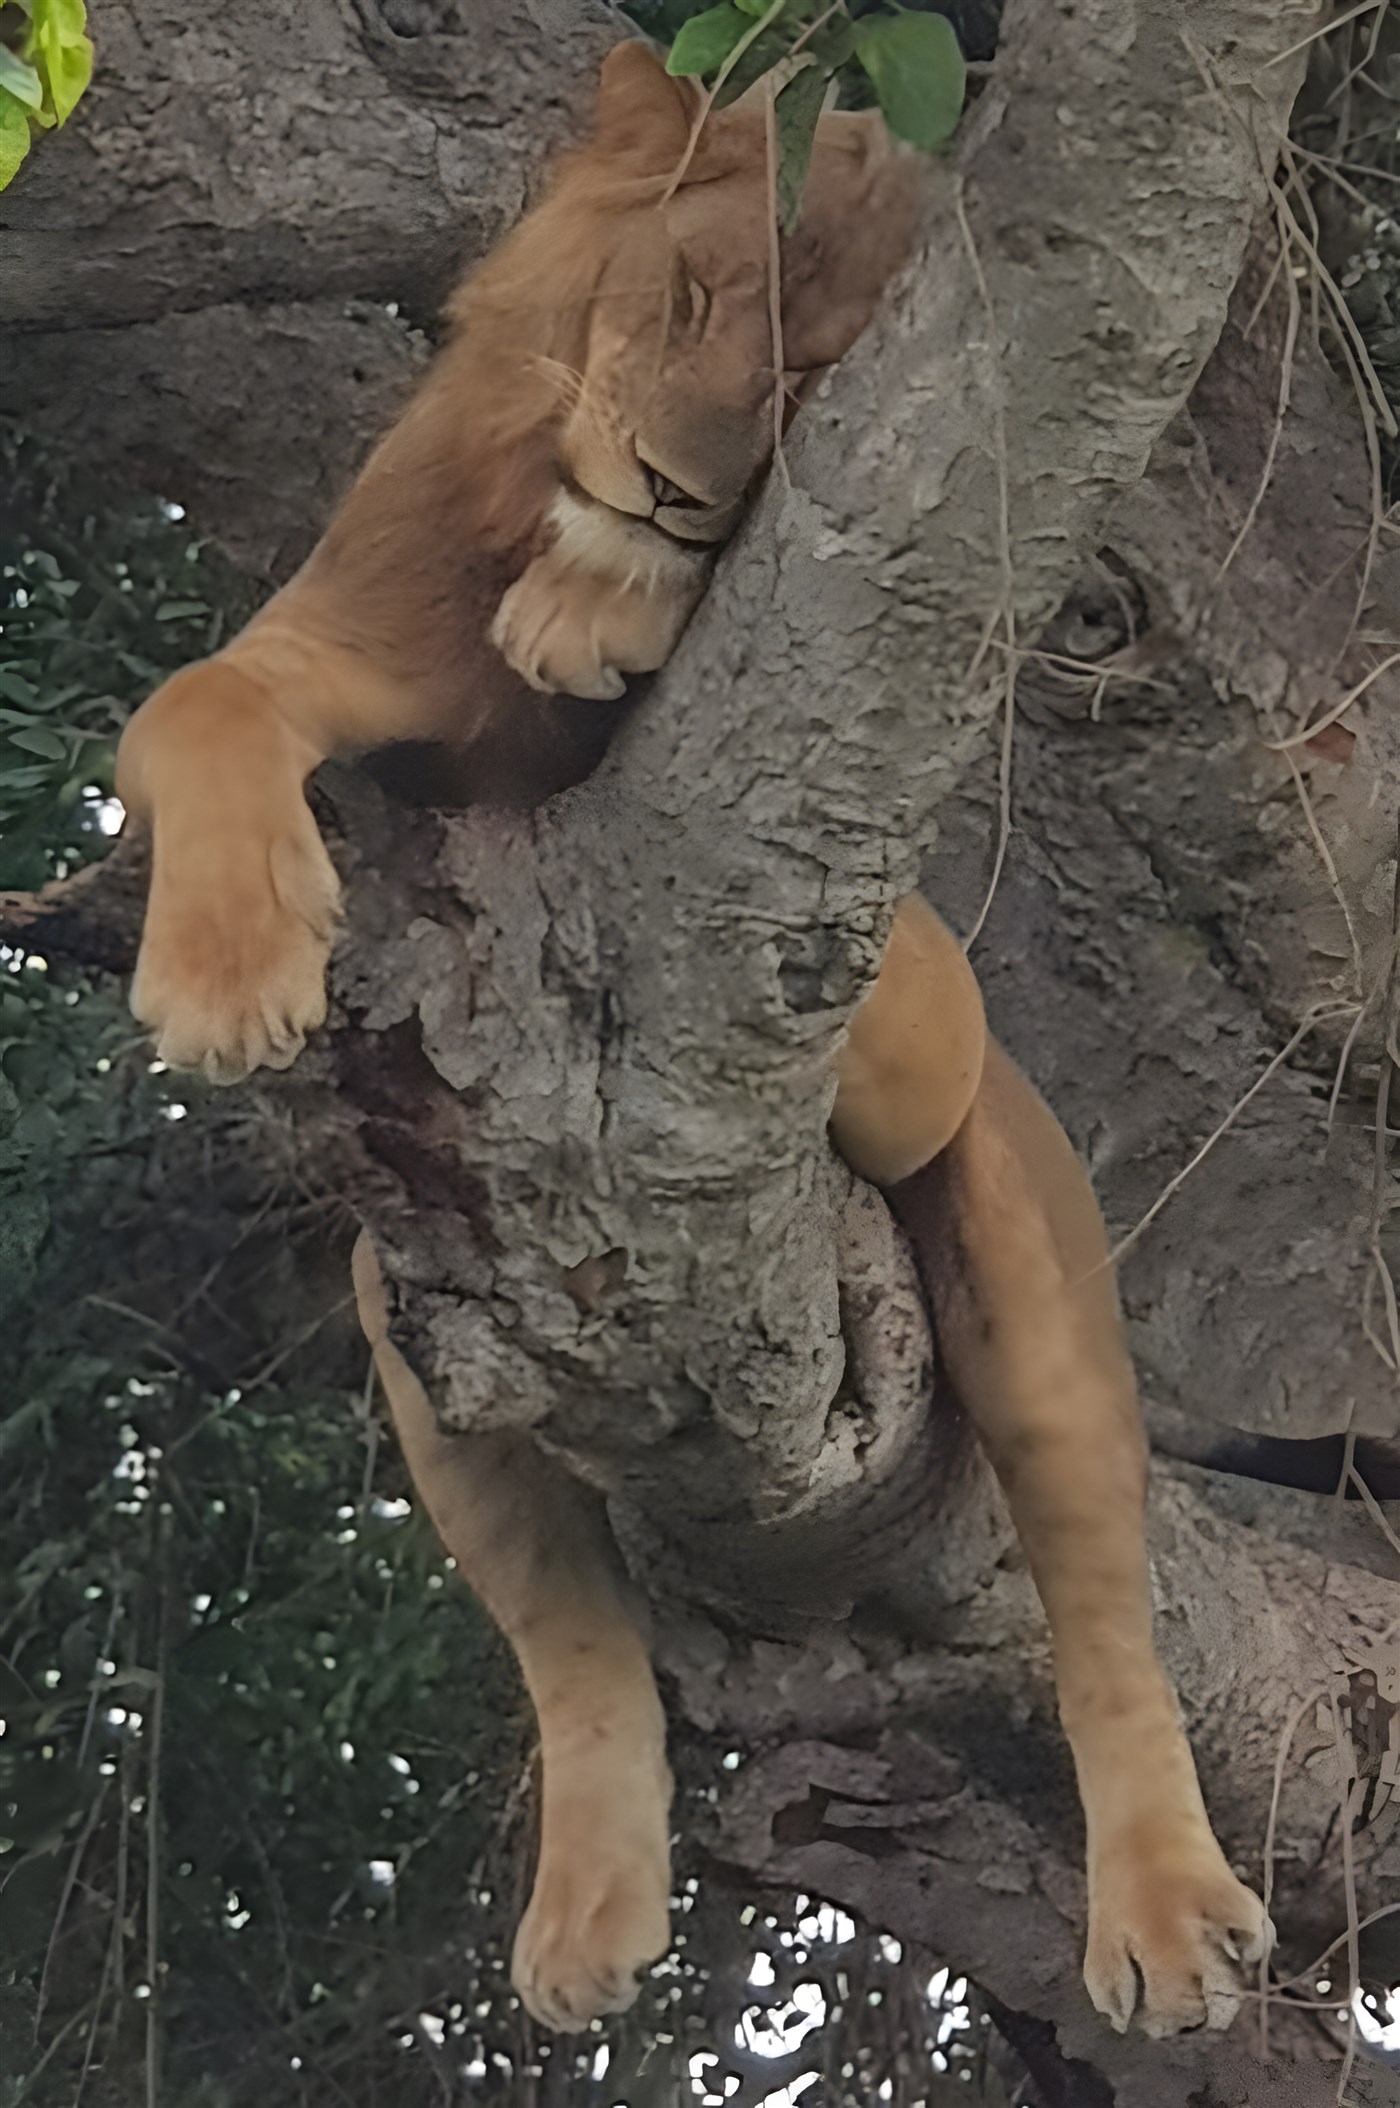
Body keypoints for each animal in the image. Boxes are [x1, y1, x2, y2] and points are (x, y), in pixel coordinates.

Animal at [115, 40, 1271, 2042]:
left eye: (810, 391)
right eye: (696, 298)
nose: (669, 491)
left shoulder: (894, 971)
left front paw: (594, 610)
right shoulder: (337, 634)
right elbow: (196, 697)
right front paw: (224, 971)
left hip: (1026, 1264)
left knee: (1105, 1611)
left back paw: (1170, 1914)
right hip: (422, 1330)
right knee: (578, 1647)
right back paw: (586, 1918)